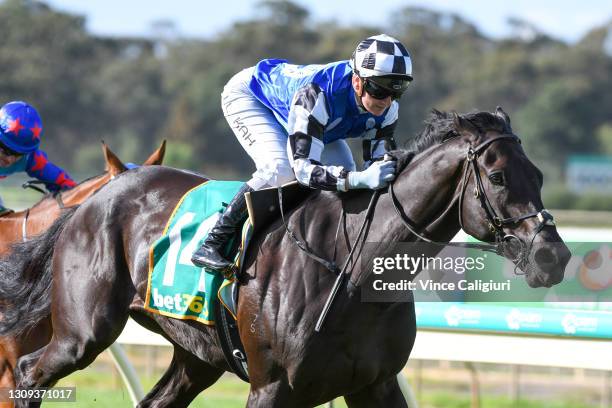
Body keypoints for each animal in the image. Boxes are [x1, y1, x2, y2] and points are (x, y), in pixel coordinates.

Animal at [2, 110, 572, 406]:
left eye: (540, 175)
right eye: (497, 177)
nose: (554, 257)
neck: (352, 270)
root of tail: (94, 199)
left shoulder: (376, 385)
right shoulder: (272, 386)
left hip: (197, 353)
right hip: (83, 332)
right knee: (27, 373)